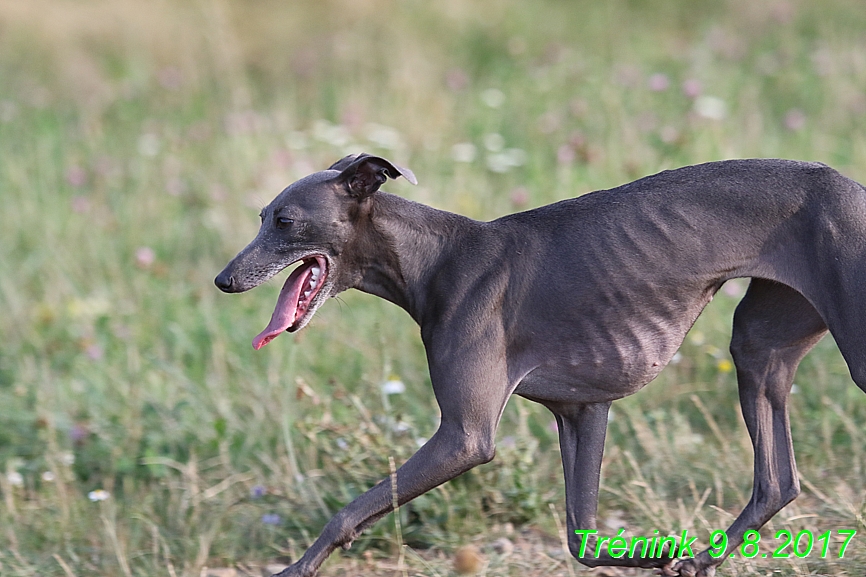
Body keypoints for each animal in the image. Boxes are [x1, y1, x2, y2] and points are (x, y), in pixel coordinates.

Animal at [216, 154, 864, 576]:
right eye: (262, 215)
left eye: (285, 221)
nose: (223, 279)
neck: (435, 259)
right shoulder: (583, 409)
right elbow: (584, 541)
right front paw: (664, 558)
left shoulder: (465, 436)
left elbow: (347, 511)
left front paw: (295, 570)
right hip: (759, 343)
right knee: (777, 481)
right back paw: (703, 557)